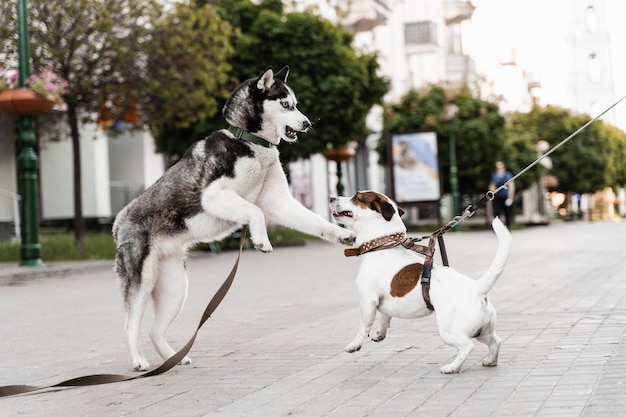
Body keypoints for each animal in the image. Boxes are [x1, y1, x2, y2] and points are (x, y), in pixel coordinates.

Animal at [114, 66, 354, 370]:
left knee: (155, 330)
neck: (248, 140)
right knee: (129, 325)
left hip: (175, 288)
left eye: (296, 104)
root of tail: (120, 221)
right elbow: (254, 211)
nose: (307, 123)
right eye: (285, 104)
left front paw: (342, 234)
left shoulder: (279, 202)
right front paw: (261, 240)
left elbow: (317, 222)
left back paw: (172, 359)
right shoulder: (214, 195)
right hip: (142, 282)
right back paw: (138, 361)